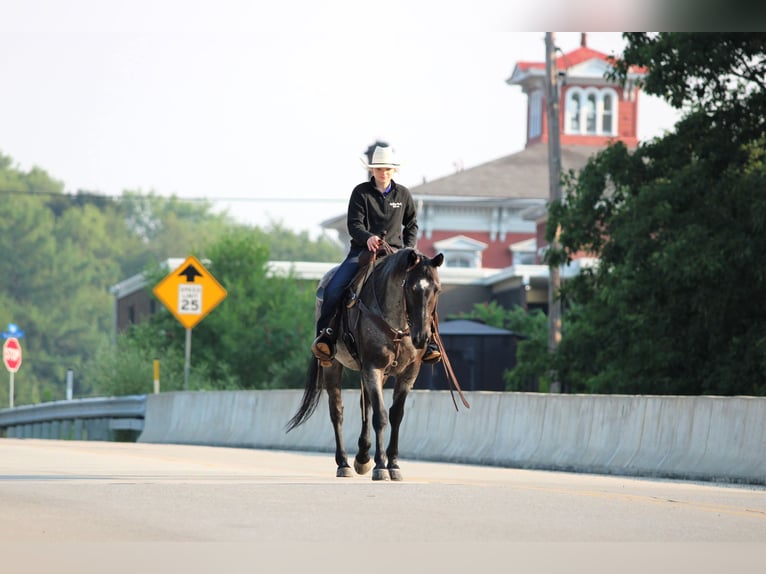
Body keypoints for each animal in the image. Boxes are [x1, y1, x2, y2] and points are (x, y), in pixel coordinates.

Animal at [286, 247, 460, 481]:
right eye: (411, 288)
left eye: (437, 289)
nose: (422, 338)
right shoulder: (373, 368)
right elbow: (380, 416)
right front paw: (380, 466)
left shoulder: (408, 373)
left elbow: (396, 415)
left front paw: (393, 464)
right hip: (332, 365)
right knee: (337, 411)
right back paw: (344, 463)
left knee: (364, 405)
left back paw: (362, 456)